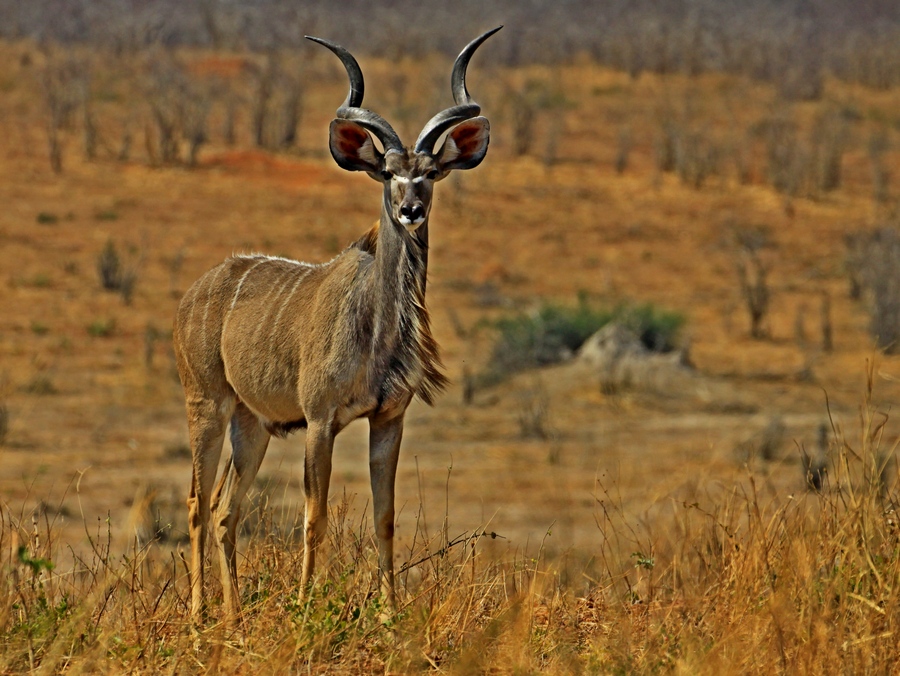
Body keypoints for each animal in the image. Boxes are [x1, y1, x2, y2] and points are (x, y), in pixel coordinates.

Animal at [174, 26, 500, 620]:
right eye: (389, 173)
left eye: (430, 174)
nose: (411, 210)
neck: (377, 331)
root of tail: (193, 295)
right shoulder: (320, 420)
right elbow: (315, 516)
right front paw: (306, 607)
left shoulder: (388, 419)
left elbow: (385, 517)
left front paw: (391, 615)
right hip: (206, 405)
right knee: (196, 502)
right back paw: (199, 617)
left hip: (250, 423)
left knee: (226, 510)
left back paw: (234, 616)